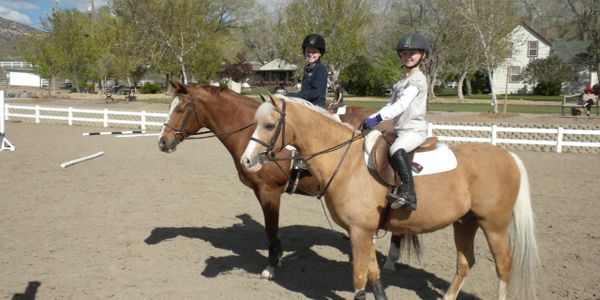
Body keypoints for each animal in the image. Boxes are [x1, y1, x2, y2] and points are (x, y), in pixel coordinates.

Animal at [156, 81, 394, 278]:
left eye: (181, 109)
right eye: (170, 107)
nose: (162, 142)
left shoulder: (269, 191)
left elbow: (271, 228)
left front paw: (270, 265)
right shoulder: (260, 191)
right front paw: (276, 257)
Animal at [239, 95, 540, 300]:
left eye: (269, 125)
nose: (247, 160)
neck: (347, 163)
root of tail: (507, 155)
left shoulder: (359, 232)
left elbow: (360, 278)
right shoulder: (364, 232)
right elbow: (374, 273)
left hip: (494, 226)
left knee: (503, 265)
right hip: (465, 223)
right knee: (466, 263)